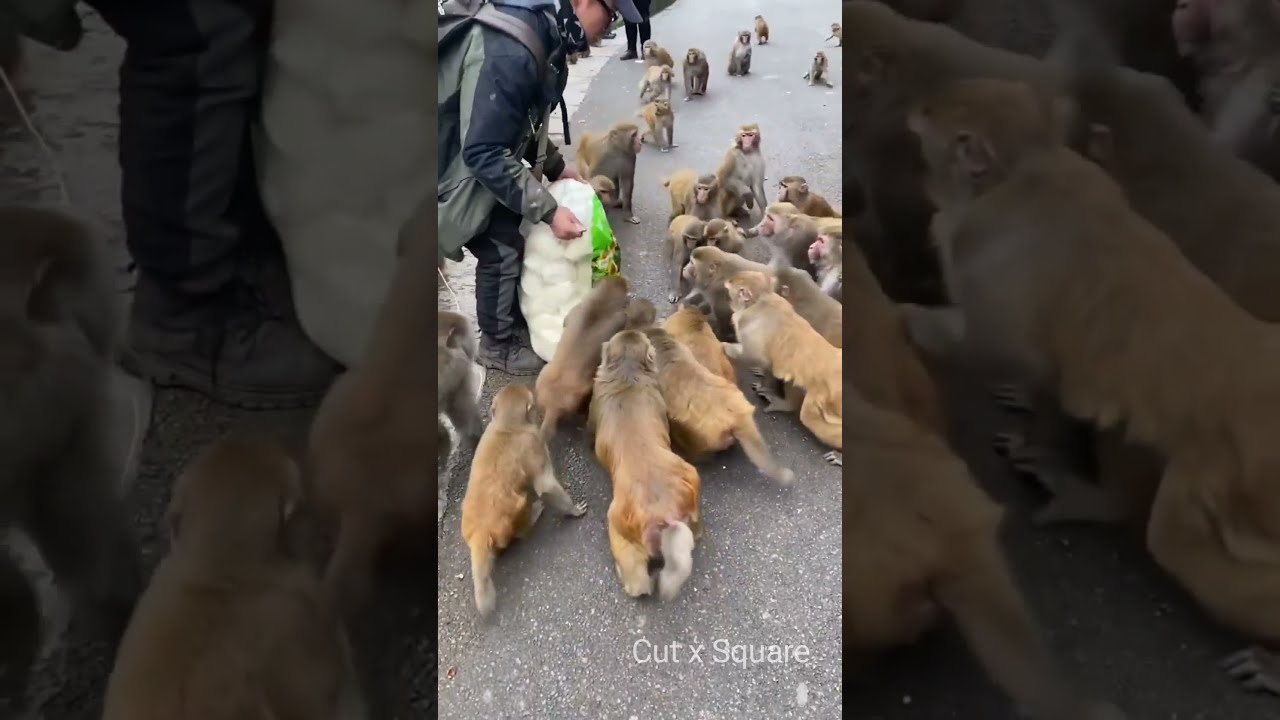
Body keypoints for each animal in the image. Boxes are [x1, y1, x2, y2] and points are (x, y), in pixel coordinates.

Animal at [462, 385, 587, 617]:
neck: (507, 426)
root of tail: (479, 532)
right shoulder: (533, 441)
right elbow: (545, 485)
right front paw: (573, 510)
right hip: (510, 519)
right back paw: (532, 516)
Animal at [588, 330, 701, 600]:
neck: (627, 373)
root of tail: (665, 514)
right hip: (690, 478)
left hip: (620, 520)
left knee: (632, 563)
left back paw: (633, 583)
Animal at [723, 271, 842, 465]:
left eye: (734, 282)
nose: (728, 280)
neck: (761, 300)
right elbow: (768, 363)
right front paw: (762, 378)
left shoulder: (750, 325)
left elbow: (755, 355)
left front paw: (725, 347)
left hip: (829, 395)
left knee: (809, 417)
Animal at [904, 75, 1280, 691]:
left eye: (943, 115)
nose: (919, 106)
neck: (1026, 172)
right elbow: (1046, 374)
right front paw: (1031, 412)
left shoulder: (992, 265)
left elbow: (998, 347)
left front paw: (908, 321)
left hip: (1242, 482)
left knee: (1179, 545)